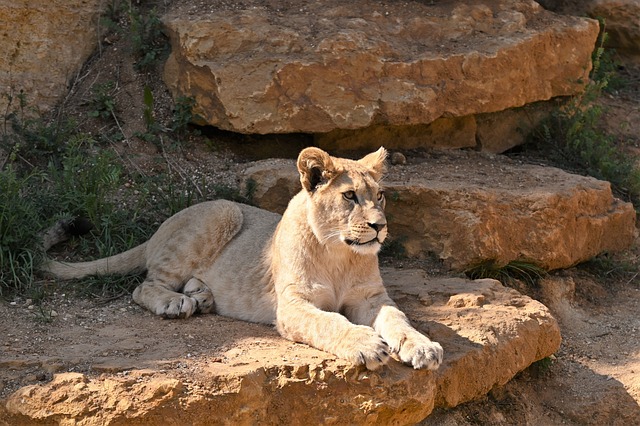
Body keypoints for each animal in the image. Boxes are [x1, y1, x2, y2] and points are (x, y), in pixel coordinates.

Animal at [42, 148, 444, 372]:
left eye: (380, 195)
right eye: (349, 196)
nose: (380, 226)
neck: (340, 254)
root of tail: (159, 229)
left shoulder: (371, 297)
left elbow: (398, 318)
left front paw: (422, 347)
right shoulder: (293, 305)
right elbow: (329, 322)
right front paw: (366, 345)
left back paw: (202, 296)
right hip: (223, 211)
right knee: (144, 286)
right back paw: (177, 302)